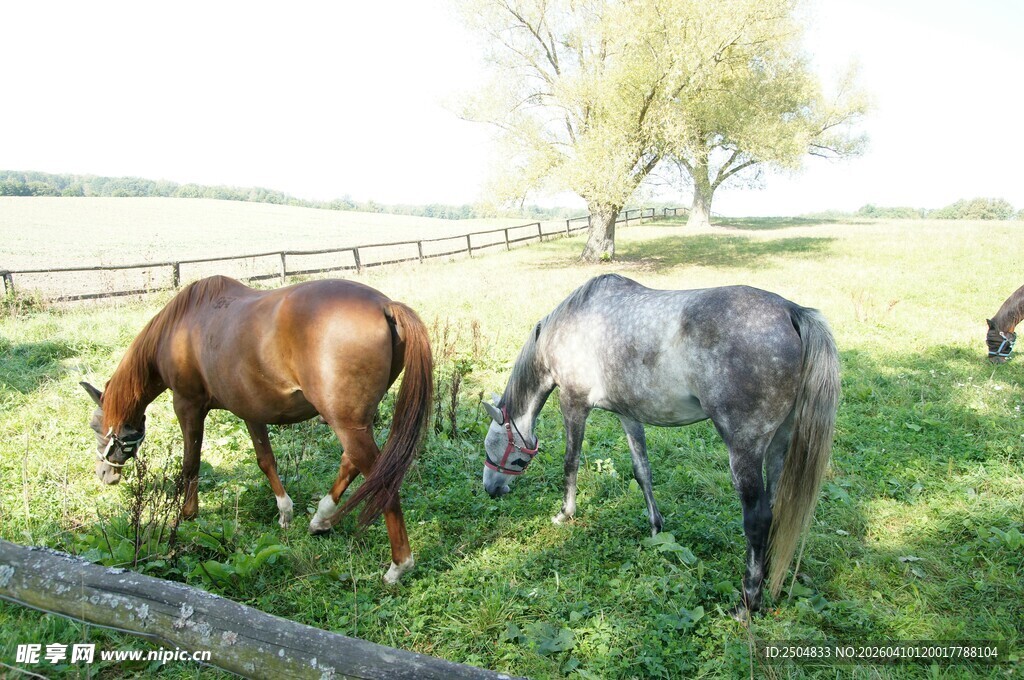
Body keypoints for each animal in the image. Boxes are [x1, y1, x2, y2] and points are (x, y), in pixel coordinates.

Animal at [81, 275, 433, 584]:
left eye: (96, 425)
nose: (104, 473)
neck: (181, 327)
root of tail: (385, 305)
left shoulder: (187, 405)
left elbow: (191, 463)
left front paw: (188, 516)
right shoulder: (251, 410)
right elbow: (266, 461)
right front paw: (285, 513)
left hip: (346, 423)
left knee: (380, 479)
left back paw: (398, 565)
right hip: (354, 421)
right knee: (353, 464)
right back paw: (321, 519)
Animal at [480, 274, 839, 614]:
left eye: (491, 446)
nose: (491, 489)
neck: (570, 323)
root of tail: (792, 311)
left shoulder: (574, 403)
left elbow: (571, 462)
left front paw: (564, 514)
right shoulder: (627, 414)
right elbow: (642, 471)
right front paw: (656, 528)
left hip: (744, 450)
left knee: (758, 518)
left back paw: (748, 602)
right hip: (779, 444)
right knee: (776, 507)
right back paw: (766, 574)